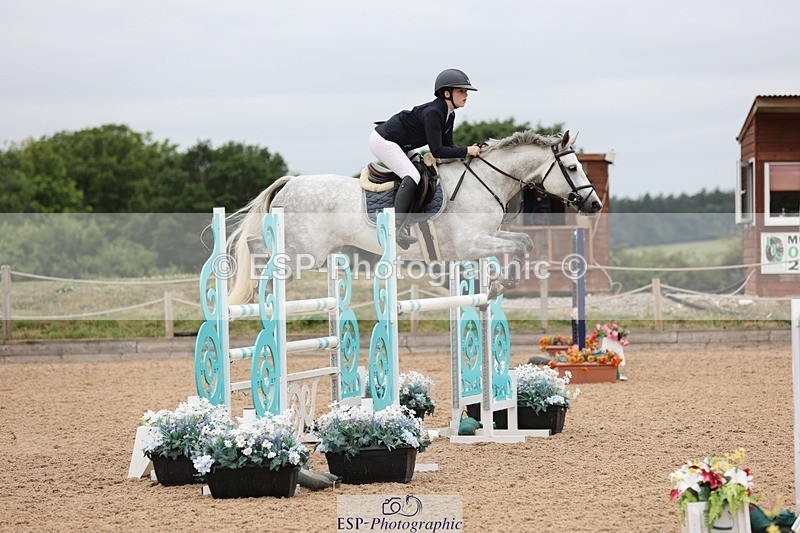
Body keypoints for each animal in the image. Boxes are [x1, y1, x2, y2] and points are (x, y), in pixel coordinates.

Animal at [227, 130, 602, 304]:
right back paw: (258, 291)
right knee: (258, 248)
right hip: (305, 251)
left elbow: (523, 243)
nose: (595, 204)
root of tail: (290, 182)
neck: (485, 181)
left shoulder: (485, 238)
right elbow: (520, 245)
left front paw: (500, 284)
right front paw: (500, 283)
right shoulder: (469, 244)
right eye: (572, 167)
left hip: (313, 252)